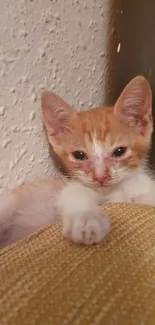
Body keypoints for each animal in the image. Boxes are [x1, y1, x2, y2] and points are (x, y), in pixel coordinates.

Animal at [0, 75, 154, 246]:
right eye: (79, 155)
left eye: (119, 152)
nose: (100, 177)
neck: (110, 192)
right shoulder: (68, 187)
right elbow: (75, 195)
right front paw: (86, 220)